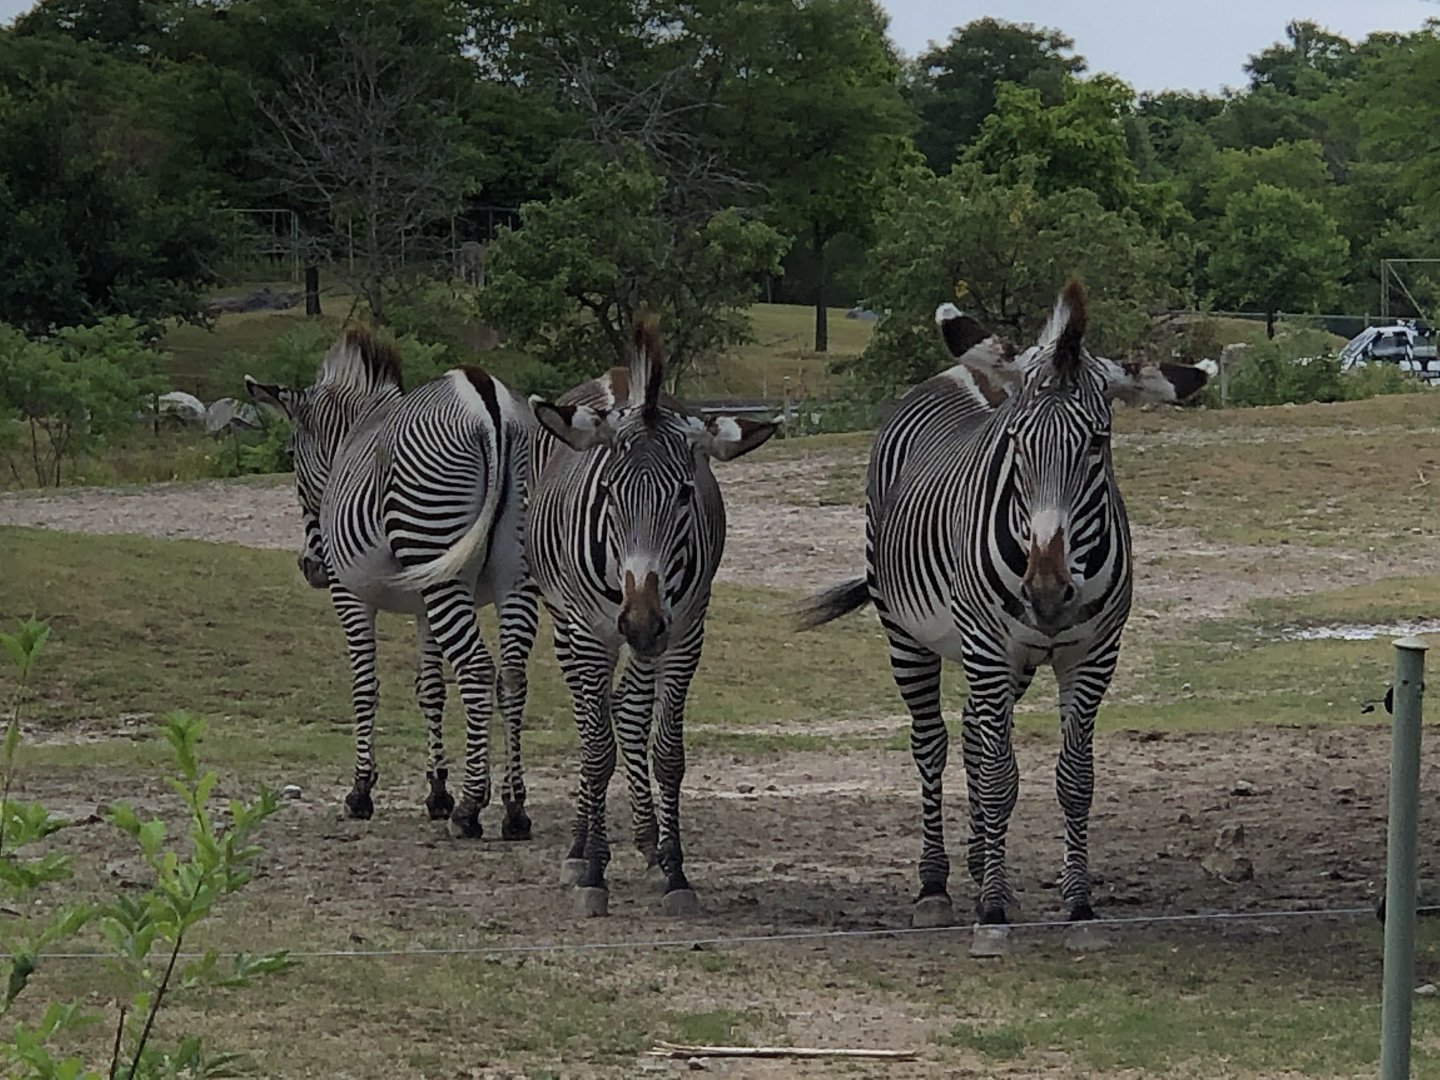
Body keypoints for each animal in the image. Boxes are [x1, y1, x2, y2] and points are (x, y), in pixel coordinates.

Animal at [244, 329, 539, 840]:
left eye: (291, 459)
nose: (311, 567)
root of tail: (486, 397)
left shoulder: (350, 596)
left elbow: (365, 687)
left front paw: (361, 791)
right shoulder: (424, 605)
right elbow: (431, 689)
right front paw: (437, 792)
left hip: (438, 551)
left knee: (478, 670)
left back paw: (470, 810)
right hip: (509, 575)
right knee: (512, 677)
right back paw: (514, 809)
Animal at [525, 317, 776, 917]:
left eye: (685, 494)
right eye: (609, 493)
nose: (639, 621)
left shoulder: (684, 632)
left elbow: (667, 752)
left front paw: (674, 870)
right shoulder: (592, 633)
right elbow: (597, 750)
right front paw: (594, 871)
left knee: (630, 714)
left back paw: (646, 840)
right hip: (567, 624)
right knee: (591, 722)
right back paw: (580, 847)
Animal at [796, 280, 1208, 932]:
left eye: (1098, 443)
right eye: (1014, 442)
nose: (1046, 592)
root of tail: (963, 370)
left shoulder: (1093, 656)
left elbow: (1074, 778)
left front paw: (1076, 900)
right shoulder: (989, 649)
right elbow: (997, 777)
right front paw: (991, 907)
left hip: (1005, 664)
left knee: (971, 734)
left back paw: (978, 862)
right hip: (908, 635)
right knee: (933, 743)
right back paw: (936, 884)